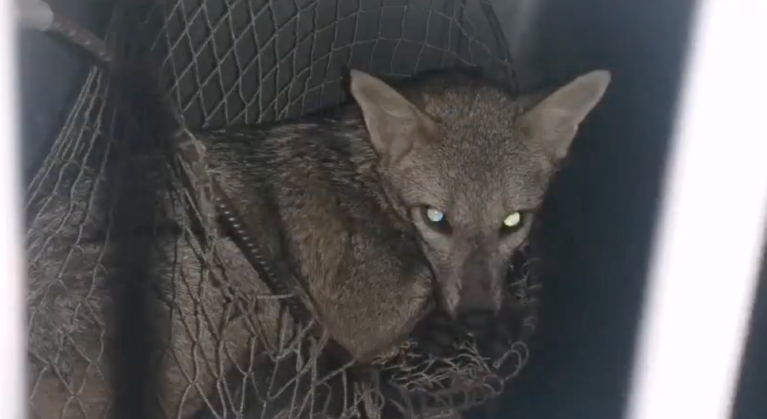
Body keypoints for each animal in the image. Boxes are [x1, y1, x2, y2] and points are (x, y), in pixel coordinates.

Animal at [26, 66, 610, 419]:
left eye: (514, 221)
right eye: (436, 219)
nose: (478, 319)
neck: (367, 177)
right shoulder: (357, 315)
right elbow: (420, 299)